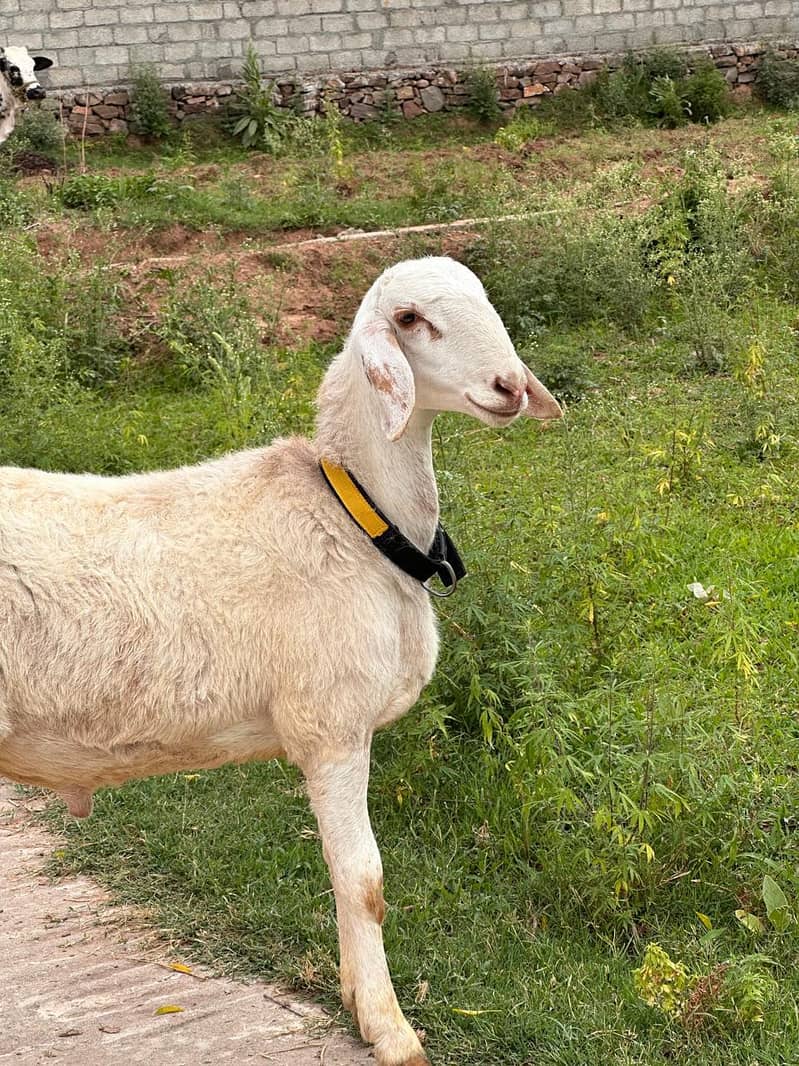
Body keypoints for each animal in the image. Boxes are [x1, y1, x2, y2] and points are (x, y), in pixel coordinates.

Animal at [0, 256, 561, 1066]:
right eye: (410, 319)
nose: (509, 387)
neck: (352, 515)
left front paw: (358, 998)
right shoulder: (330, 725)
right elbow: (363, 880)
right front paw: (389, 1028)